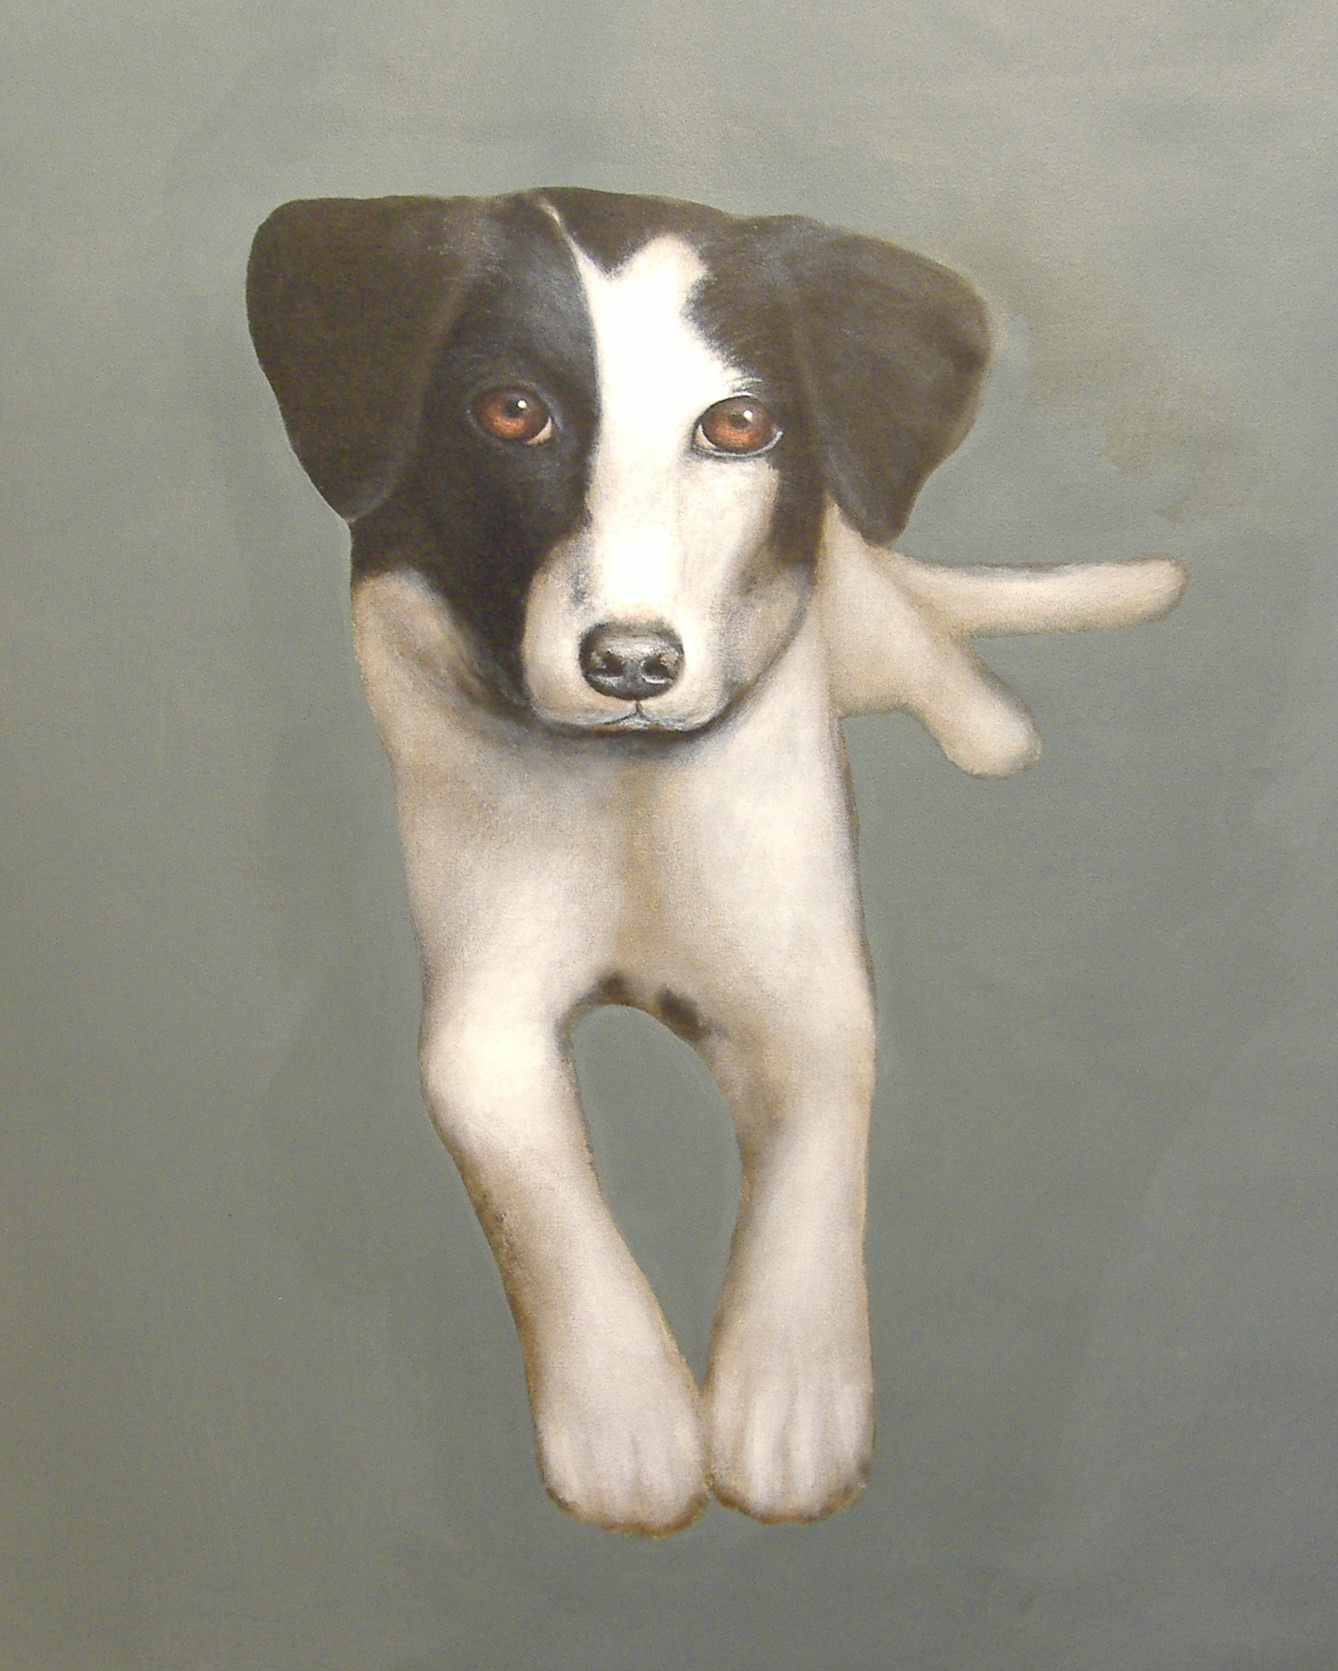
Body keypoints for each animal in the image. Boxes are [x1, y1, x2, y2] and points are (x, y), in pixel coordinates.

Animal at [247, 187, 1185, 1534]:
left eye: (738, 426)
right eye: (511, 411)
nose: (632, 665)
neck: (631, 798)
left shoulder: (808, 995)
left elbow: (815, 1166)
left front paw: (791, 1403)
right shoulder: (481, 1016)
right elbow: (531, 1178)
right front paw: (625, 1417)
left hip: (864, 606)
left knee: (909, 629)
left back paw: (991, 730)